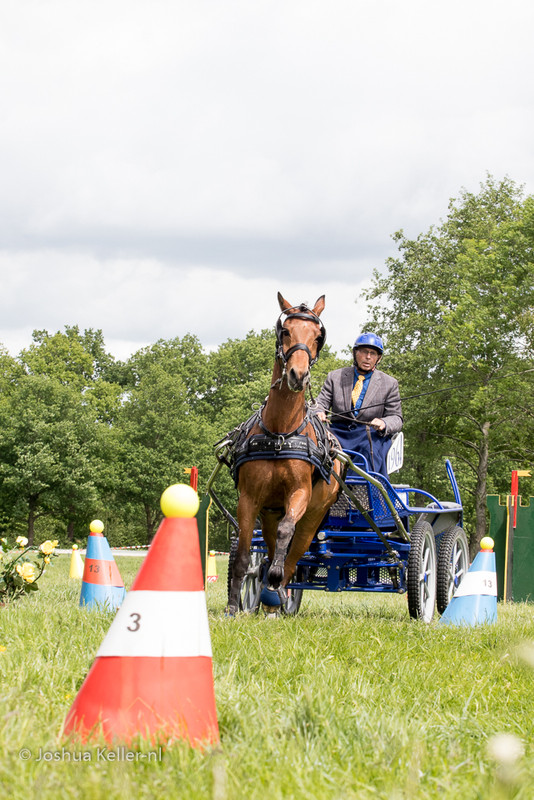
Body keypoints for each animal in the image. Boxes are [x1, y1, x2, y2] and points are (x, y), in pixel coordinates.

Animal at [227, 290, 344, 616]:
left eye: (317, 336)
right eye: (286, 331)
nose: (298, 375)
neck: (280, 432)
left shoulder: (300, 494)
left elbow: (285, 535)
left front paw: (275, 583)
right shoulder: (249, 499)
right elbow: (243, 554)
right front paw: (232, 606)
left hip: (314, 516)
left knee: (293, 553)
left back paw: (277, 594)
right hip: (269, 510)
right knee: (269, 547)